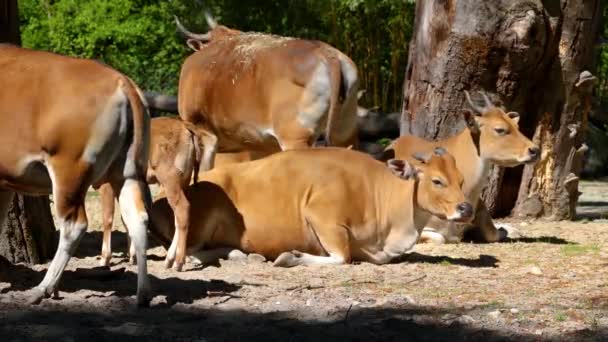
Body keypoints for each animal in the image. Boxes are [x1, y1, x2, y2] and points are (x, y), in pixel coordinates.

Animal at [0, 44, 151, 304]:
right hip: (127, 173)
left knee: (74, 225)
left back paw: (44, 288)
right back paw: (143, 294)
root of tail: (122, 82)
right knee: (137, 218)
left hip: (69, 171)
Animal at [96, 116, 208, 272]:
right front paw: (133, 256)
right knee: (178, 217)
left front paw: (105, 258)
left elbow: (108, 218)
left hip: (170, 181)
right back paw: (169, 259)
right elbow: (128, 217)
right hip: (182, 182)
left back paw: (178, 262)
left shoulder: (108, 183)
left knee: (182, 210)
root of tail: (184, 125)